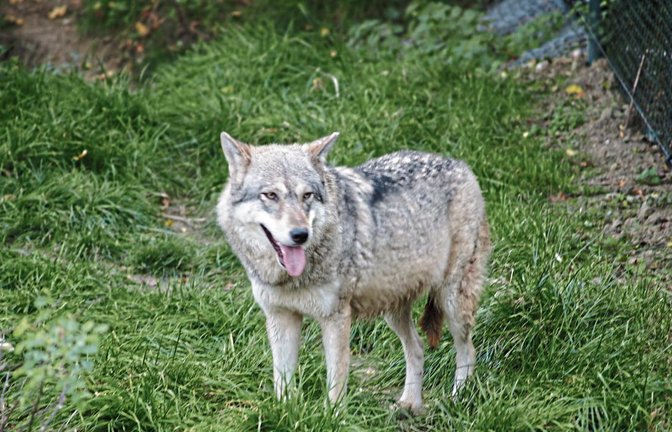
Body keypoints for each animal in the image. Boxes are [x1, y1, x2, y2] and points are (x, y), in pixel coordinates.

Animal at [216, 132, 490, 414]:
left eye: (307, 196)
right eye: (270, 195)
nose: (301, 235)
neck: (291, 279)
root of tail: (461, 164)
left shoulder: (336, 318)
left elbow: (336, 380)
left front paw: (332, 416)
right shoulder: (280, 316)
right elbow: (282, 380)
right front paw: (285, 412)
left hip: (452, 302)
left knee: (467, 350)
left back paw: (458, 399)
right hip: (393, 310)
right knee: (418, 347)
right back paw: (409, 404)